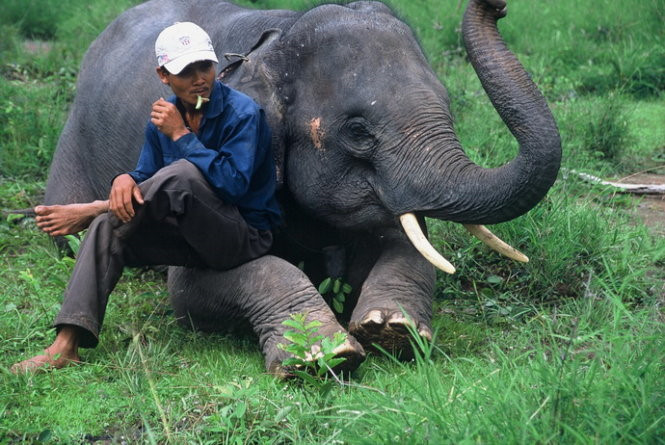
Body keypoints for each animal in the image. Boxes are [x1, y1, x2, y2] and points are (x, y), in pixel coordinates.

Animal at [43, 0, 561, 374]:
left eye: (447, 104)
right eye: (358, 131)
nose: (498, 6)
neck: (278, 41)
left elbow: (406, 245)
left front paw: (391, 328)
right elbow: (190, 288)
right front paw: (319, 352)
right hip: (72, 139)